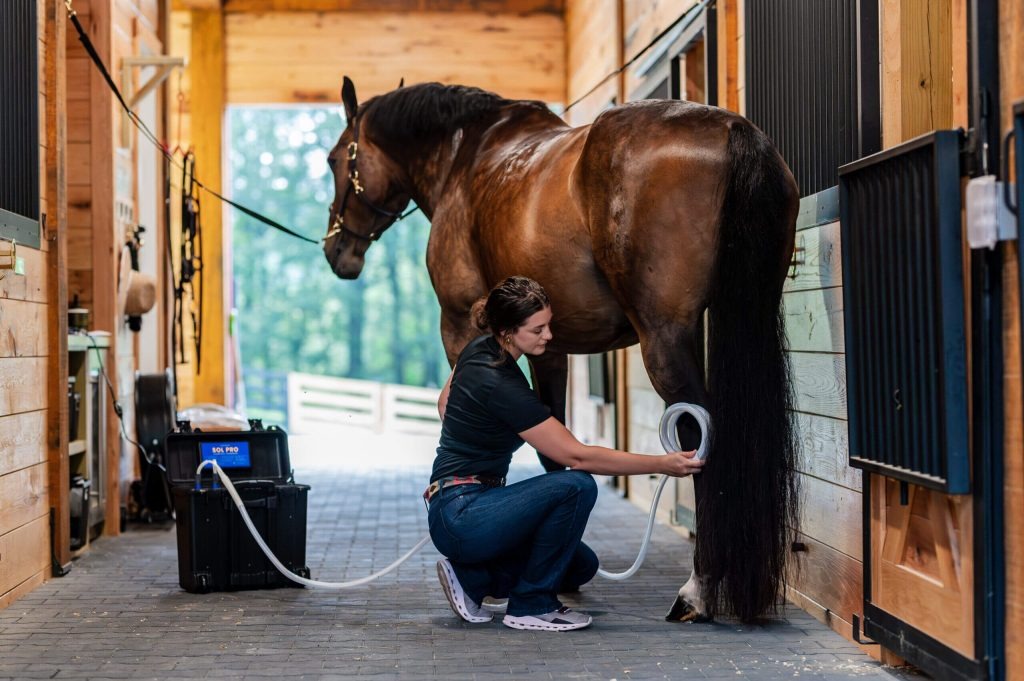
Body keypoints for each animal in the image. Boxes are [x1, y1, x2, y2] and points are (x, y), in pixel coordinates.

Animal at [322, 77, 800, 623]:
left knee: (701, 440)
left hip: (666, 338)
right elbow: (554, 447)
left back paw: (698, 590)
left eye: (336, 159)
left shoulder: (461, 326)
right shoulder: (548, 348)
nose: (336, 251)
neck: (465, 156)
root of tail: (733, 129)